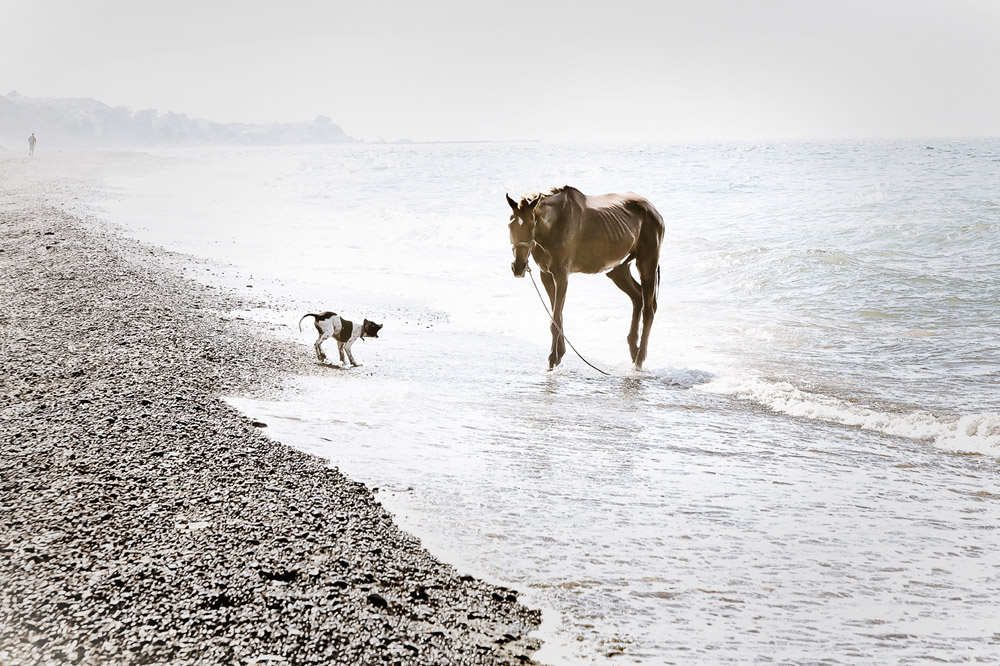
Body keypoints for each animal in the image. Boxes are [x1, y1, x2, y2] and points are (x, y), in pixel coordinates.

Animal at [508, 184, 664, 368]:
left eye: (532, 225)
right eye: (510, 225)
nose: (518, 267)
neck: (554, 225)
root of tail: (653, 210)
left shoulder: (561, 275)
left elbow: (556, 318)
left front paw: (552, 359)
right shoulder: (545, 275)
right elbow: (557, 316)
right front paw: (559, 354)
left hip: (647, 263)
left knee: (649, 309)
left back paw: (639, 360)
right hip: (618, 270)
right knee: (637, 297)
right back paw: (634, 350)